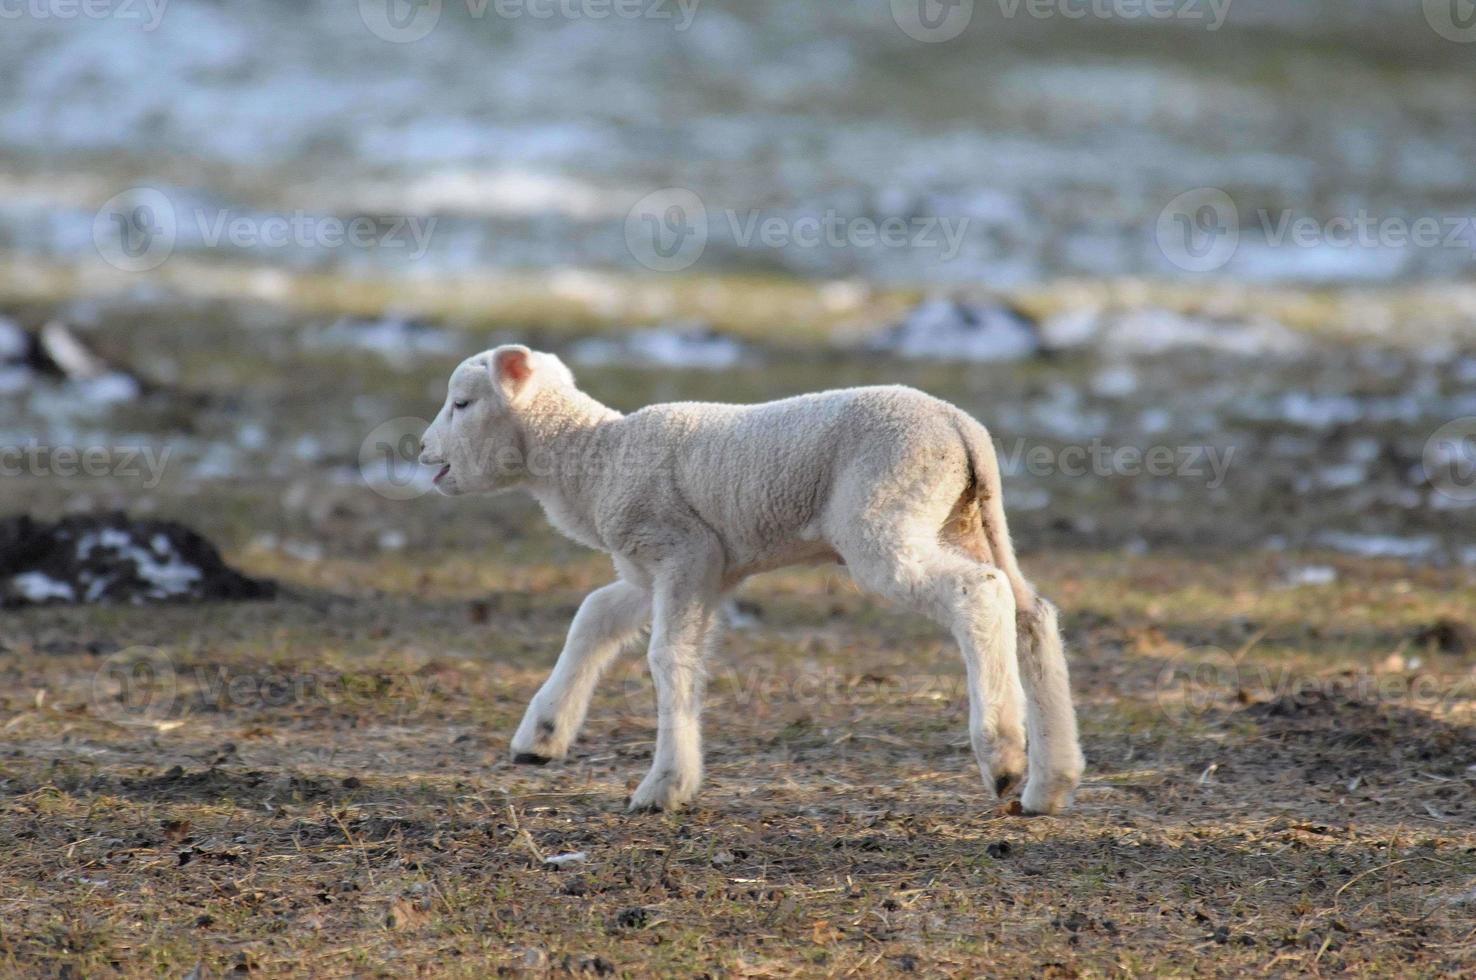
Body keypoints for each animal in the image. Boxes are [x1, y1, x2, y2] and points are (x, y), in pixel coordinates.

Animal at [416, 348, 1086, 814]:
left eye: (462, 403)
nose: (423, 451)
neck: (594, 457)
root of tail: (961, 429)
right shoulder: (661, 569)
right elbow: (594, 616)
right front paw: (543, 735)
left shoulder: (683, 550)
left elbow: (669, 656)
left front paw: (665, 786)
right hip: (960, 517)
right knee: (1031, 612)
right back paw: (1050, 783)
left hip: (884, 514)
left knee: (979, 594)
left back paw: (1003, 754)